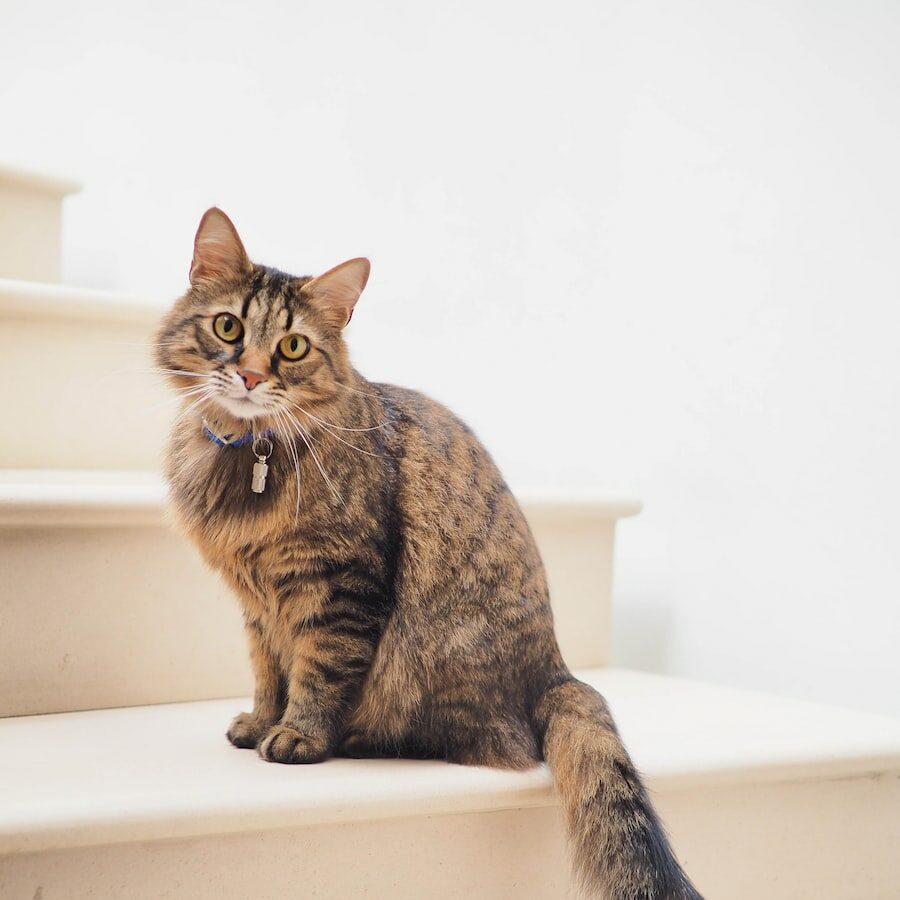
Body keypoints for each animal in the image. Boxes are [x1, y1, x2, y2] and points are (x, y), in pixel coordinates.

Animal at [155, 207, 704, 896]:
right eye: (227, 327)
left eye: (292, 347)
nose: (252, 376)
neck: (246, 452)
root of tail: (557, 670)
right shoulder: (257, 604)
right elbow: (267, 672)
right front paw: (260, 721)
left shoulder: (340, 584)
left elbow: (316, 672)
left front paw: (296, 735)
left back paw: (354, 738)